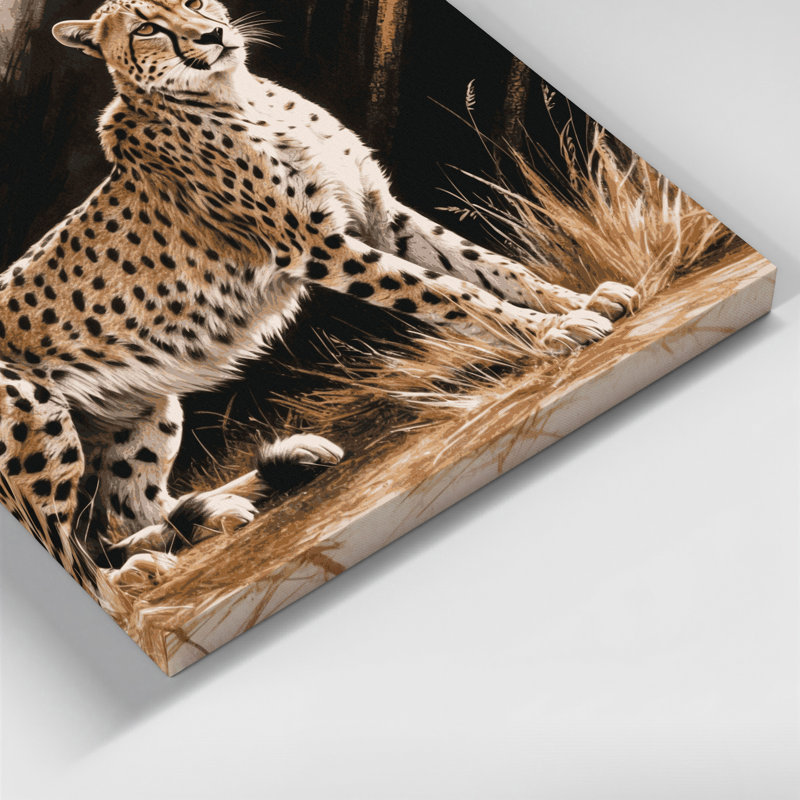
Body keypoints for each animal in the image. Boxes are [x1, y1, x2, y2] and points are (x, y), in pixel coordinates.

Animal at [0, 0, 638, 596]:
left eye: (193, 3)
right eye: (145, 30)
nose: (212, 35)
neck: (235, 93)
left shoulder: (379, 212)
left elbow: (486, 265)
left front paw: (580, 301)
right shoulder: (317, 247)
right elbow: (448, 291)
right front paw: (551, 332)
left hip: (145, 408)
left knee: (127, 512)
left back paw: (232, 500)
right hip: (35, 416)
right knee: (75, 559)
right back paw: (138, 574)